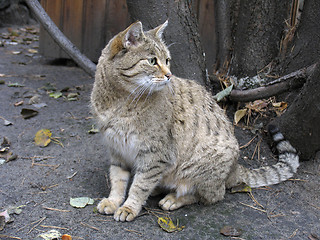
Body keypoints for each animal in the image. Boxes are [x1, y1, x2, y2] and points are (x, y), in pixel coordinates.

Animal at [90, 20, 300, 221]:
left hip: (199, 166)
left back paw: (173, 199)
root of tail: (234, 169)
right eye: (152, 61)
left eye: (167, 60)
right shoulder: (117, 150)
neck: (117, 101)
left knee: (211, 195)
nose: (169, 75)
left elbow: (139, 186)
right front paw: (113, 201)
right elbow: (118, 180)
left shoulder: (155, 155)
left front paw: (129, 207)